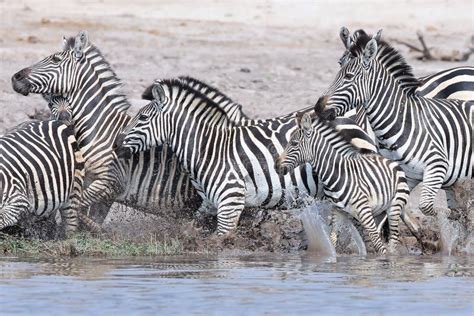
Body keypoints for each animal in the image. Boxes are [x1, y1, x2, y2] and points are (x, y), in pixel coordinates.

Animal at [10, 30, 248, 226]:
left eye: (55, 59)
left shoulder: (110, 183)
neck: (99, 130)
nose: (15, 77)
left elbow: (78, 207)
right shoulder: (97, 187)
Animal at [115, 78, 382, 235]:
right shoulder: (209, 204)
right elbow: (193, 230)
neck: (208, 148)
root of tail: (355, 121)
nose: (116, 144)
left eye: (142, 118)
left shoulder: (230, 203)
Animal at [276, 113, 410, 254]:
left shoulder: (364, 211)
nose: (276, 166)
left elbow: (379, 246)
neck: (338, 174)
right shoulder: (338, 211)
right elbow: (333, 239)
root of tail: (391, 161)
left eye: (294, 143)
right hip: (379, 211)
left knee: (392, 240)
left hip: (394, 206)